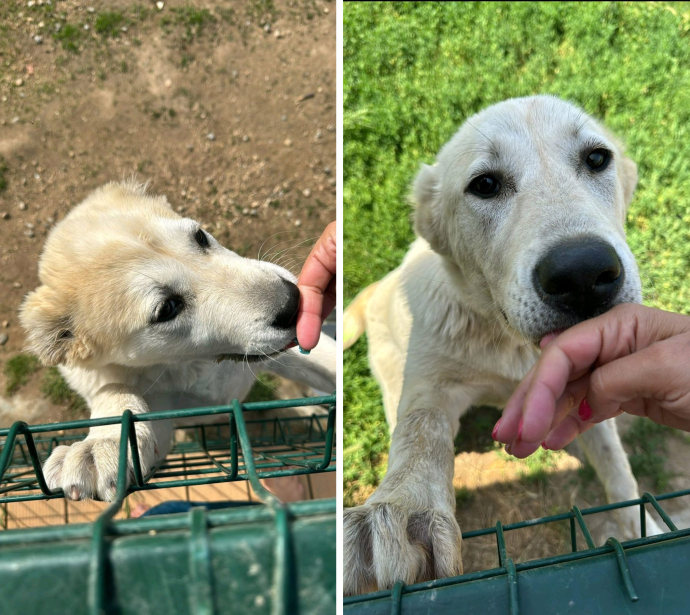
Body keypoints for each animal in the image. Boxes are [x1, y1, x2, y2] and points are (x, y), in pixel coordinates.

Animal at [20, 180, 334, 502]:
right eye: (167, 308)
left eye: (200, 236)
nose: (293, 302)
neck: (196, 362)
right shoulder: (161, 422)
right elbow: (114, 392)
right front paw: (100, 444)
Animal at [342, 96, 660, 596]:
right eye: (485, 185)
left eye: (597, 158)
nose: (584, 273)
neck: (513, 345)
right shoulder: (431, 385)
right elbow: (421, 432)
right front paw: (403, 509)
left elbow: (616, 464)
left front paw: (640, 523)